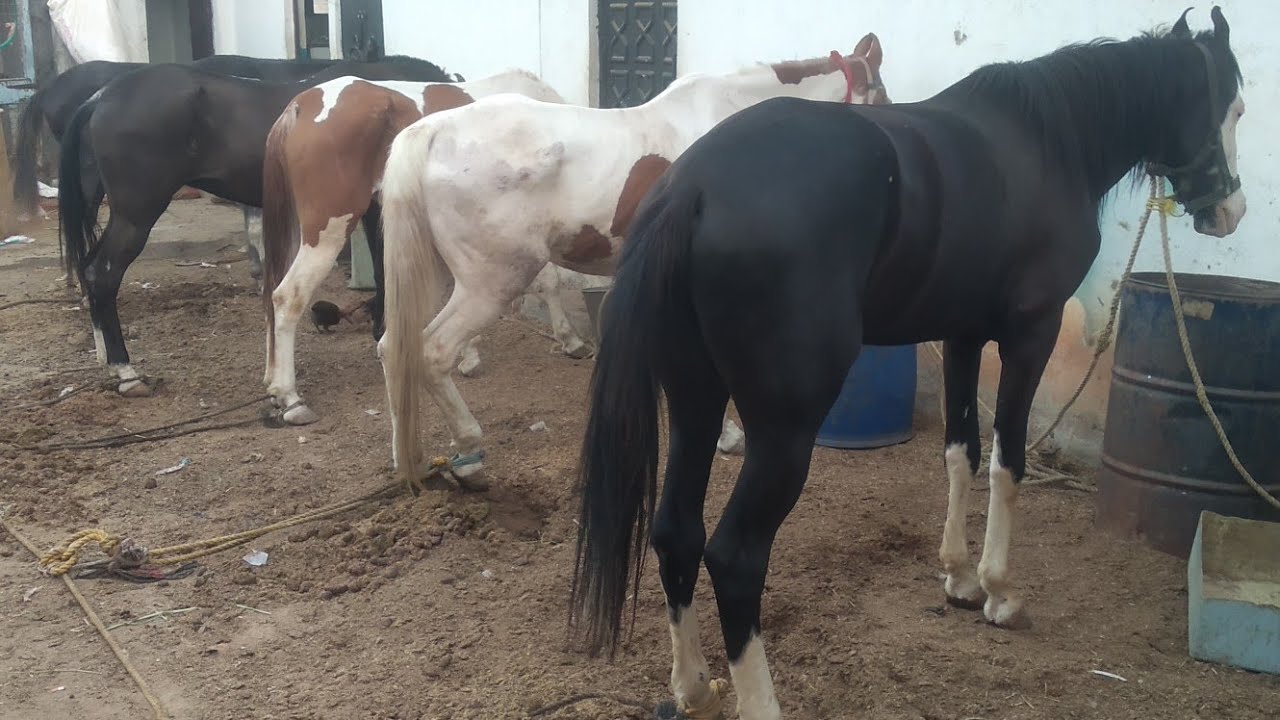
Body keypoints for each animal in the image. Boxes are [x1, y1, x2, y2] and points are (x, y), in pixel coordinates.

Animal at [55, 55, 457, 399]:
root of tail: (102, 97)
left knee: (89, 270)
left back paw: (107, 360)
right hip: (136, 214)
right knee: (103, 274)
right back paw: (126, 372)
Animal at [259, 69, 567, 427]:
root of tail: (301, 106)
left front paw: (469, 355)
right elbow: (550, 281)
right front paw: (569, 339)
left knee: (272, 294)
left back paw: (273, 384)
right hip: (327, 229)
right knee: (288, 297)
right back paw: (290, 397)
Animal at [377, 34, 889, 490]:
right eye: (882, 99)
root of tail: (431, 132)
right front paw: (728, 434)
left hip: (437, 276)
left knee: (393, 348)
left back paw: (408, 456)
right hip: (491, 283)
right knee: (432, 352)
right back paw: (468, 452)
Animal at [568, 8, 1245, 719]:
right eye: (1234, 106)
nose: (1230, 211)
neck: (1046, 143)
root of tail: (692, 186)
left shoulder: (962, 338)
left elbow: (960, 452)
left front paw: (959, 578)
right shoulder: (1030, 334)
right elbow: (1008, 460)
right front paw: (999, 591)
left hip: (695, 400)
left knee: (677, 531)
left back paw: (694, 685)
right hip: (782, 432)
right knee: (735, 557)